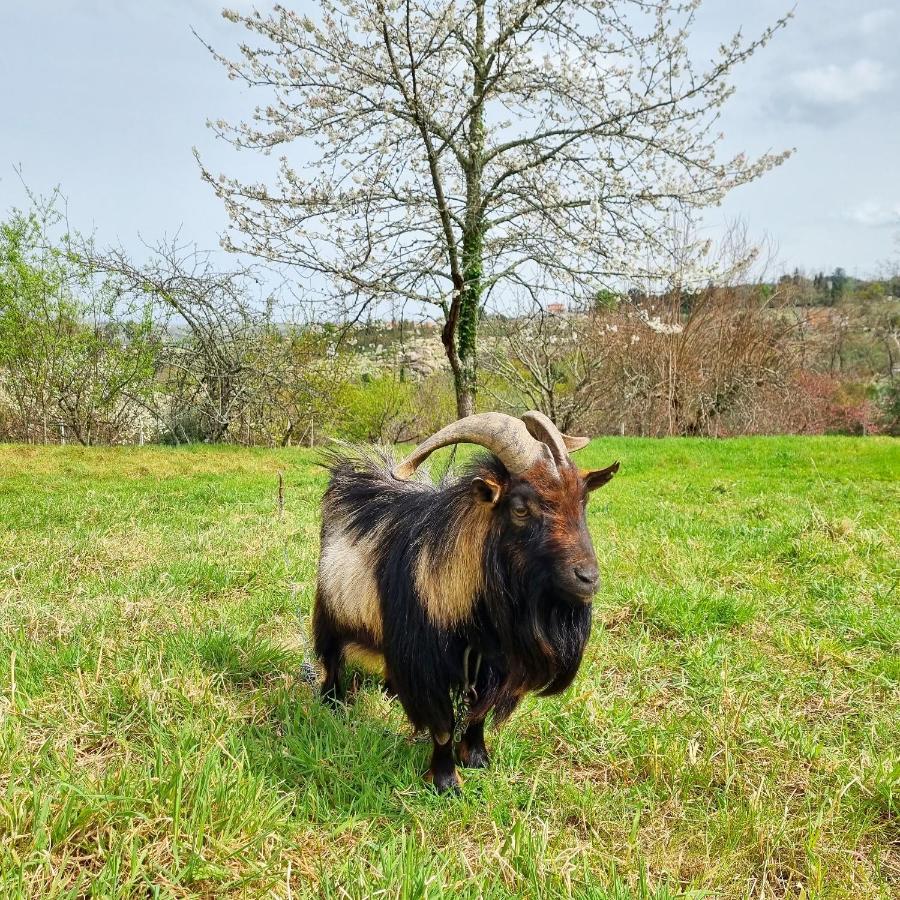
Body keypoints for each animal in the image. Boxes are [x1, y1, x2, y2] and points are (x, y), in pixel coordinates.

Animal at [312, 412, 620, 792]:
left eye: (583, 500)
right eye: (520, 508)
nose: (588, 578)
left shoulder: (491, 665)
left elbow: (477, 715)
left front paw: (477, 760)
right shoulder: (426, 662)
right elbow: (443, 725)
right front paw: (445, 781)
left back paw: (391, 692)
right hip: (330, 610)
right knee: (331, 657)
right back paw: (332, 702)